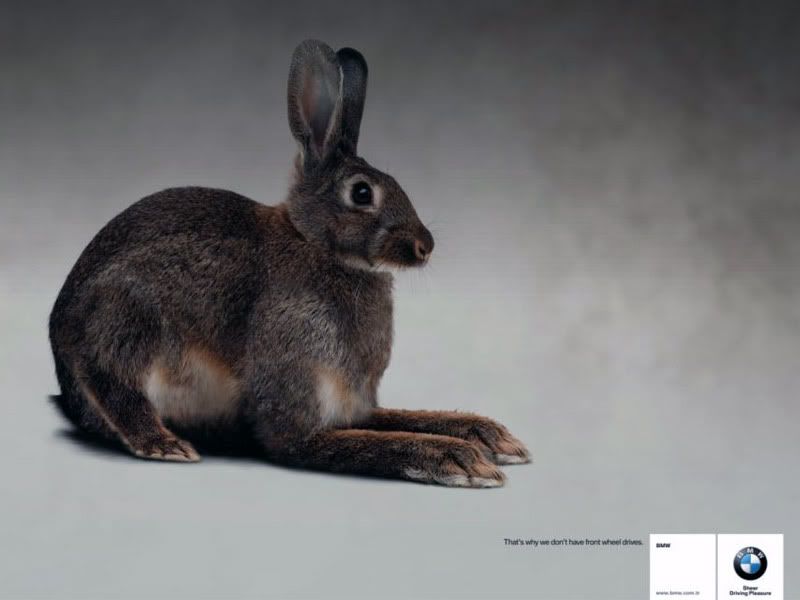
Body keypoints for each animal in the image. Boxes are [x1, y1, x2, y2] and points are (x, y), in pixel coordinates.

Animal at [48, 39, 530, 488]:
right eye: (361, 193)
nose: (424, 246)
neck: (315, 245)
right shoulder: (296, 387)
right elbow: (352, 444)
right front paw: (457, 458)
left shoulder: (353, 405)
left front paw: (490, 438)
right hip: (128, 320)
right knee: (112, 382)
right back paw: (163, 443)